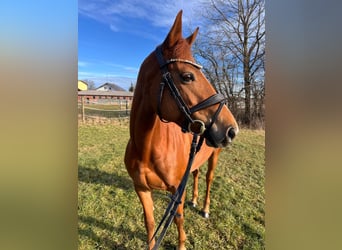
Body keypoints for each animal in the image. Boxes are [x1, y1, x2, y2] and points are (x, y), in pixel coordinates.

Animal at [124, 10, 239, 249]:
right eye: (187, 76)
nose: (232, 130)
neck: (147, 149)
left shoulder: (177, 190)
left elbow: (178, 219)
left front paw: (182, 244)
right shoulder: (141, 189)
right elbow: (150, 223)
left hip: (214, 156)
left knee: (208, 179)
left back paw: (204, 208)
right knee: (196, 174)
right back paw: (194, 200)